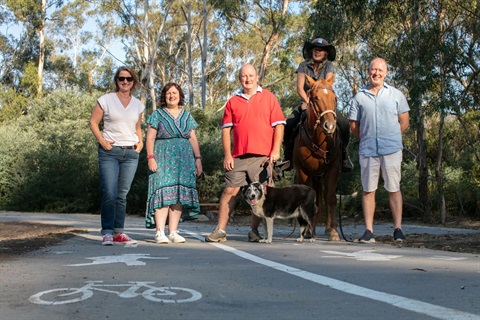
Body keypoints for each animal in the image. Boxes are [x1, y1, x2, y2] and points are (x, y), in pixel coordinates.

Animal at [292, 75, 342, 240]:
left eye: (334, 98)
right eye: (315, 97)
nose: (330, 126)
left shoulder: (333, 167)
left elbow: (331, 198)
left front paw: (334, 232)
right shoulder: (303, 171)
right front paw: (308, 231)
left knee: (323, 198)